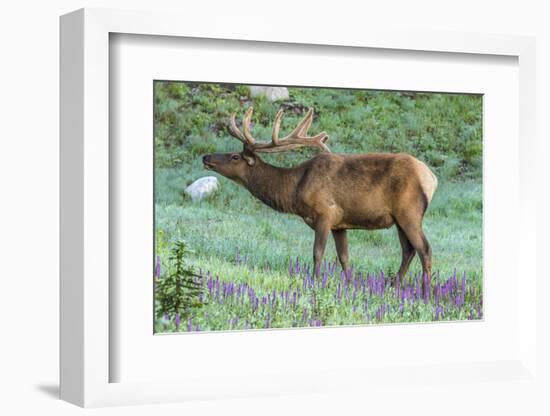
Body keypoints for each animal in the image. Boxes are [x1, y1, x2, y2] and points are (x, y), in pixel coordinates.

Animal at [203, 108, 440, 296]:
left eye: (234, 156)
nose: (206, 157)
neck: (295, 189)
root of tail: (431, 178)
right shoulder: (340, 224)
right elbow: (344, 257)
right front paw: (350, 286)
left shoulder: (324, 214)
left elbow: (318, 253)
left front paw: (315, 283)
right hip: (399, 219)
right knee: (408, 250)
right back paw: (393, 286)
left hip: (409, 212)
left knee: (424, 249)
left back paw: (425, 293)